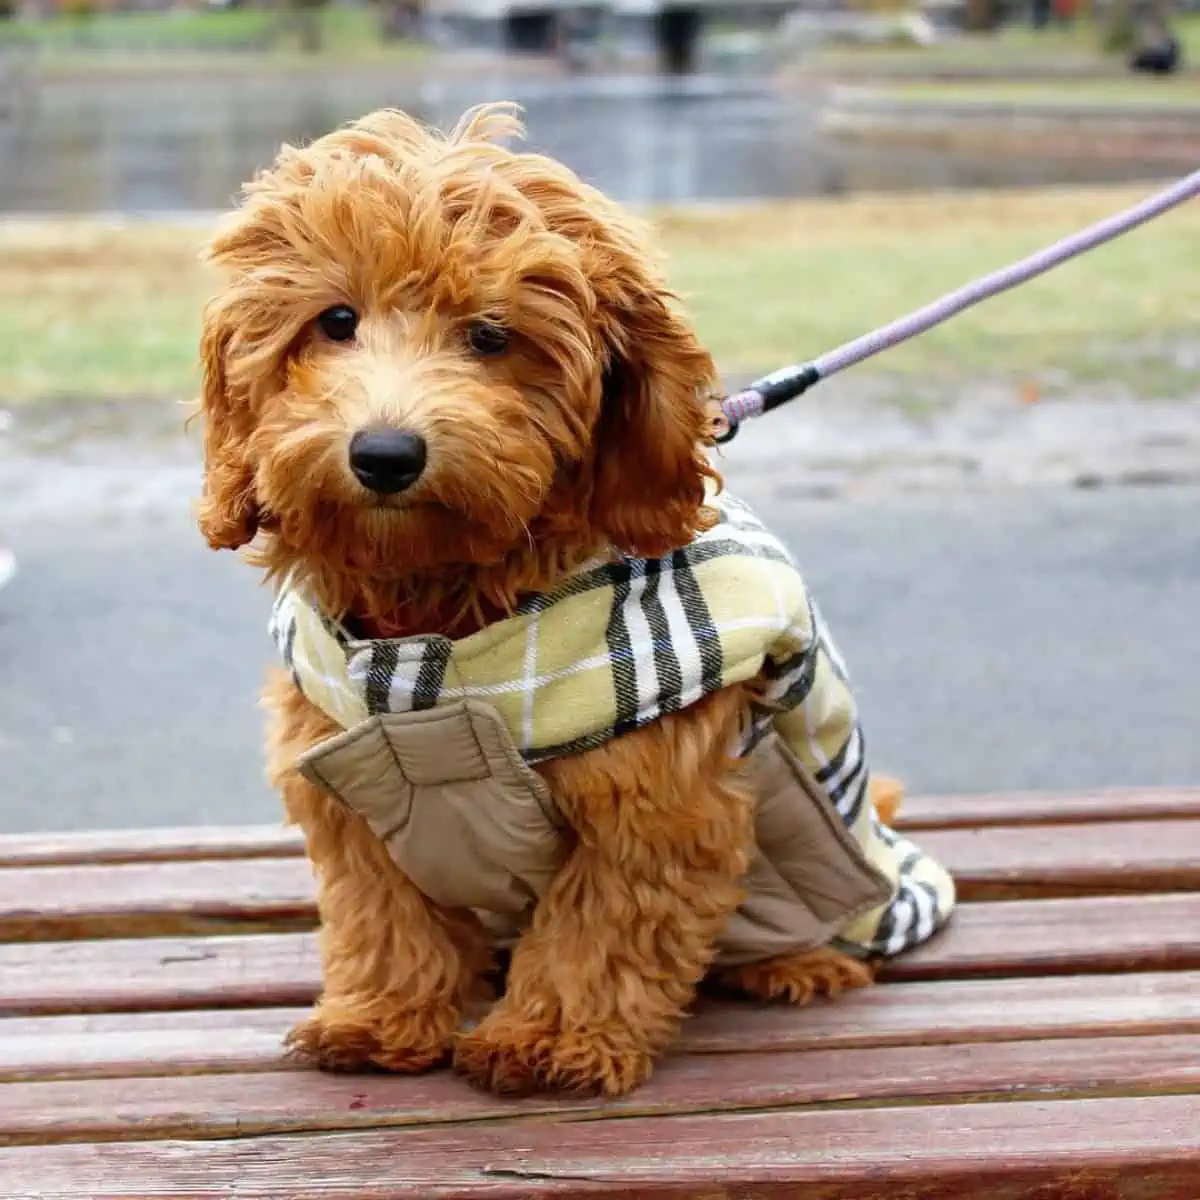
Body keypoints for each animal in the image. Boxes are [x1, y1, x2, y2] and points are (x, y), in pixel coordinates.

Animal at [196, 105, 950, 1099]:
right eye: (336, 320)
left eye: (490, 336)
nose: (386, 453)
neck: (436, 644)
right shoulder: (350, 785)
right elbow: (383, 917)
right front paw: (380, 1017)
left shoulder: (651, 802)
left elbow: (601, 929)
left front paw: (549, 1042)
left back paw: (803, 964)